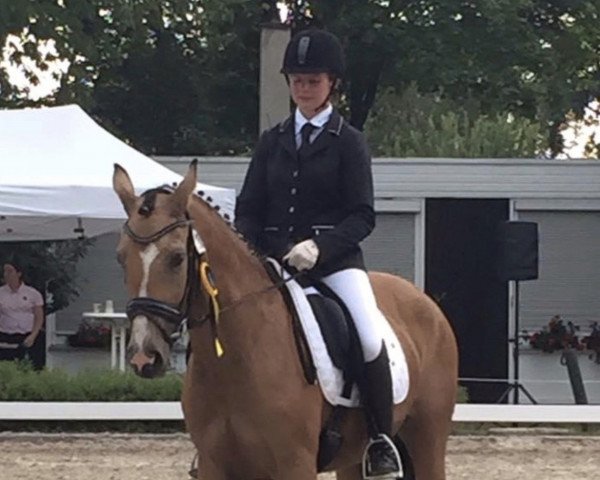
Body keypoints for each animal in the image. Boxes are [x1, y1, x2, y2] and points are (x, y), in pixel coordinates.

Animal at [113, 162, 460, 480]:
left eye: (176, 258)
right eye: (121, 257)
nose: (144, 356)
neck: (238, 356)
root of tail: (424, 301)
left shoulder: (294, 463)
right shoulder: (215, 465)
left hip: (427, 439)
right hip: (351, 459)